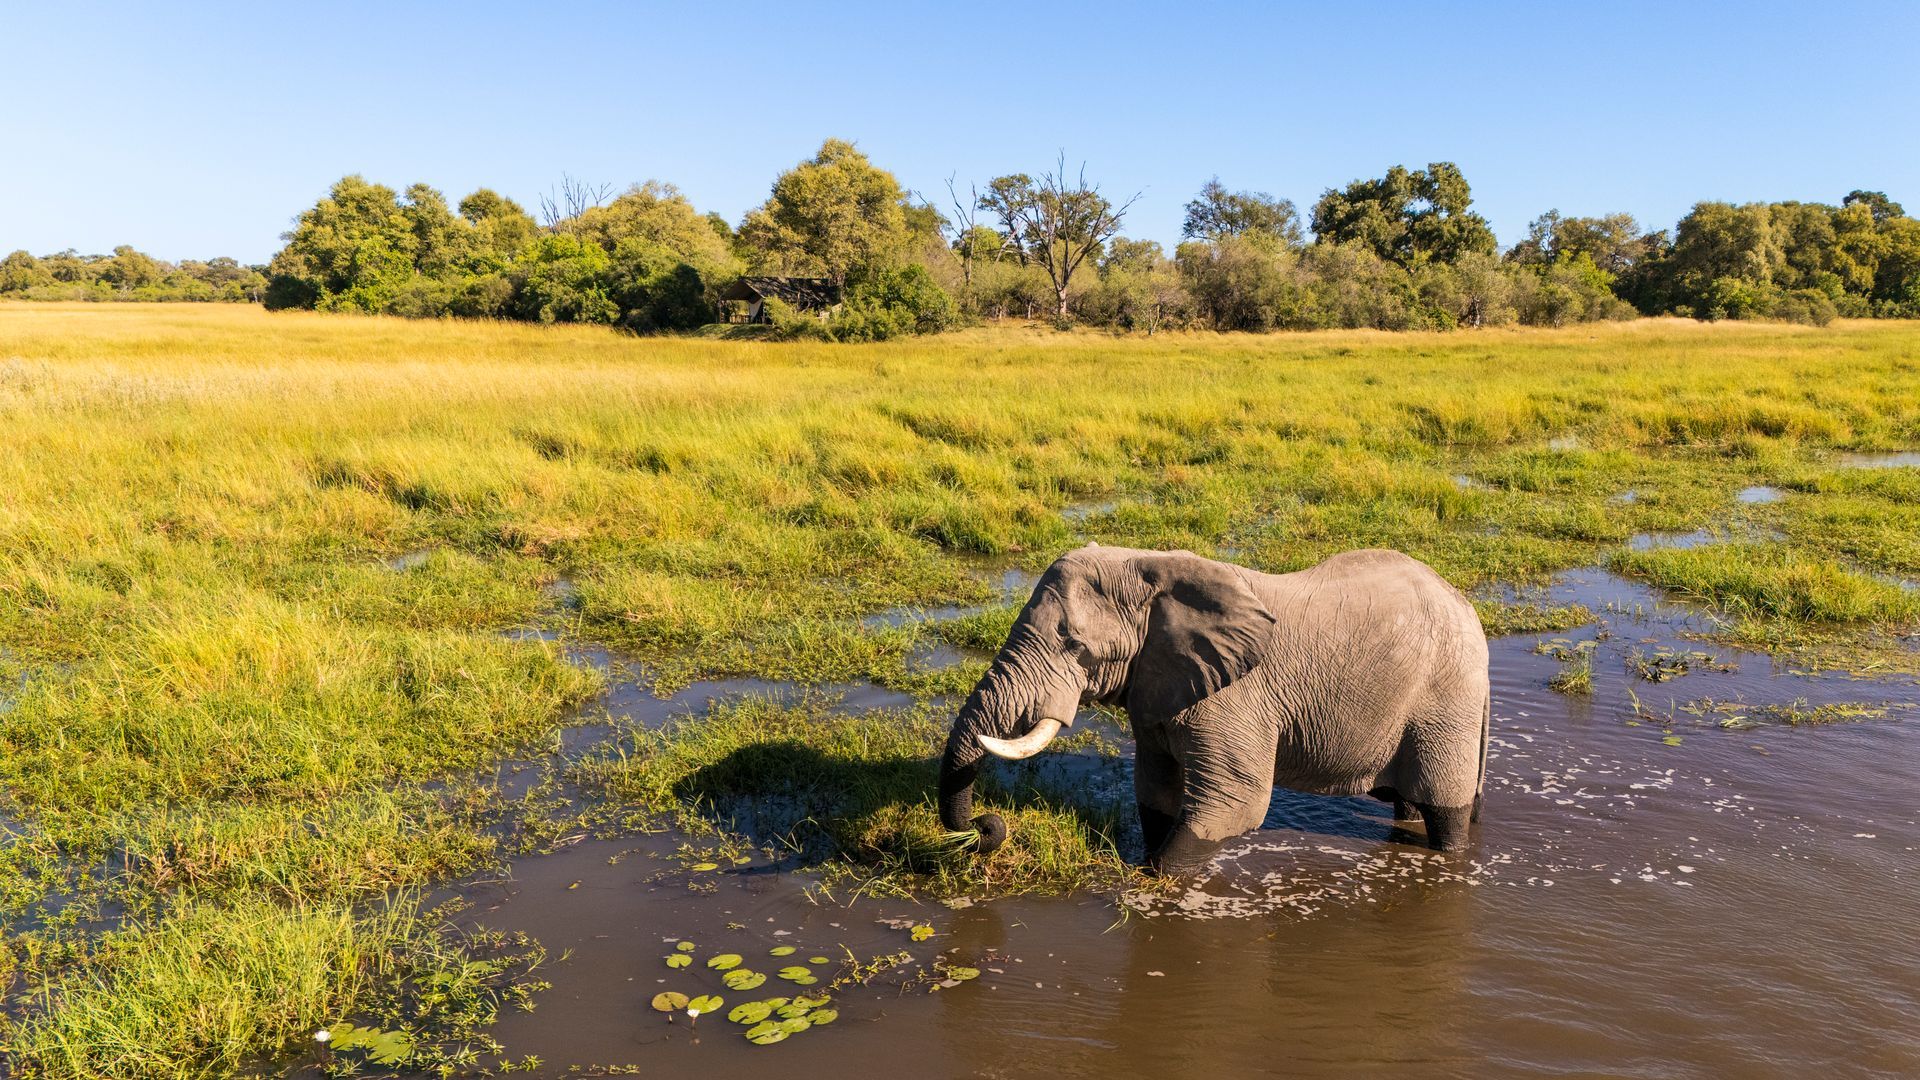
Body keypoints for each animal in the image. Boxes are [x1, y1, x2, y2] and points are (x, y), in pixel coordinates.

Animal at [937, 544, 1490, 878]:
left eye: (1074, 645)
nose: (986, 825)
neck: (1150, 567)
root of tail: (1467, 609)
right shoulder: (1155, 686)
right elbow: (1156, 791)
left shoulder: (1235, 697)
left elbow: (1233, 804)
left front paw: (1151, 881)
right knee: (1410, 804)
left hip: (1446, 698)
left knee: (1445, 813)